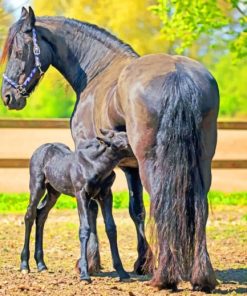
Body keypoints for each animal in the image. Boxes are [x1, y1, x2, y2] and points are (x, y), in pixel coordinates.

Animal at [20, 130, 132, 282]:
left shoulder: (106, 195)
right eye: (126, 144)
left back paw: (41, 264)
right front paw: (84, 274)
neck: (96, 166)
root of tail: (42, 148)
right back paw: (24, 265)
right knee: (30, 215)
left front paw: (122, 272)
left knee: (41, 214)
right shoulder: (81, 194)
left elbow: (111, 228)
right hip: (37, 186)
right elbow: (84, 229)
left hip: (54, 191)